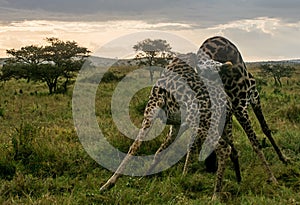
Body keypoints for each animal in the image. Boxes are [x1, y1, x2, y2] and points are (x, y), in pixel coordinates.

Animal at [99, 54, 278, 199]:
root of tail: (226, 103)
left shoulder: (152, 107)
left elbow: (135, 146)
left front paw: (109, 184)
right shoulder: (177, 125)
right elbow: (161, 152)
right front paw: (146, 176)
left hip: (204, 124)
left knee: (224, 148)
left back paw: (216, 194)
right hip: (219, 125)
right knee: (234, 149)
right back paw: (238, 182)